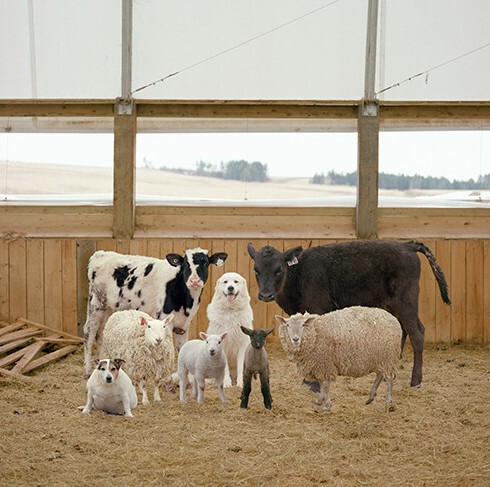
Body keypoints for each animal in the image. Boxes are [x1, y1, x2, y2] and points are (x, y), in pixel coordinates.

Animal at [83, 248, 227, 378]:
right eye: (186, 263)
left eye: (205, 262)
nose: (194, 281)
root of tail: (101, 253)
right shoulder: (164, 319)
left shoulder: (184, 325)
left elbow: (182, 349)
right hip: (96, 303)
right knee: (89, 333)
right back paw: (87, 371)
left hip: (108, 308)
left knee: (101, 335)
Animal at [249, 240, 452, 388]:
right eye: (256, 270)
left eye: (279, 270)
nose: (265, 295)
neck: (299, 274)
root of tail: (407, 245)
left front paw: (312, 380)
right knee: (402, 330)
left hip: (406, 303)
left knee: (417, 334)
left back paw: (415, 380)